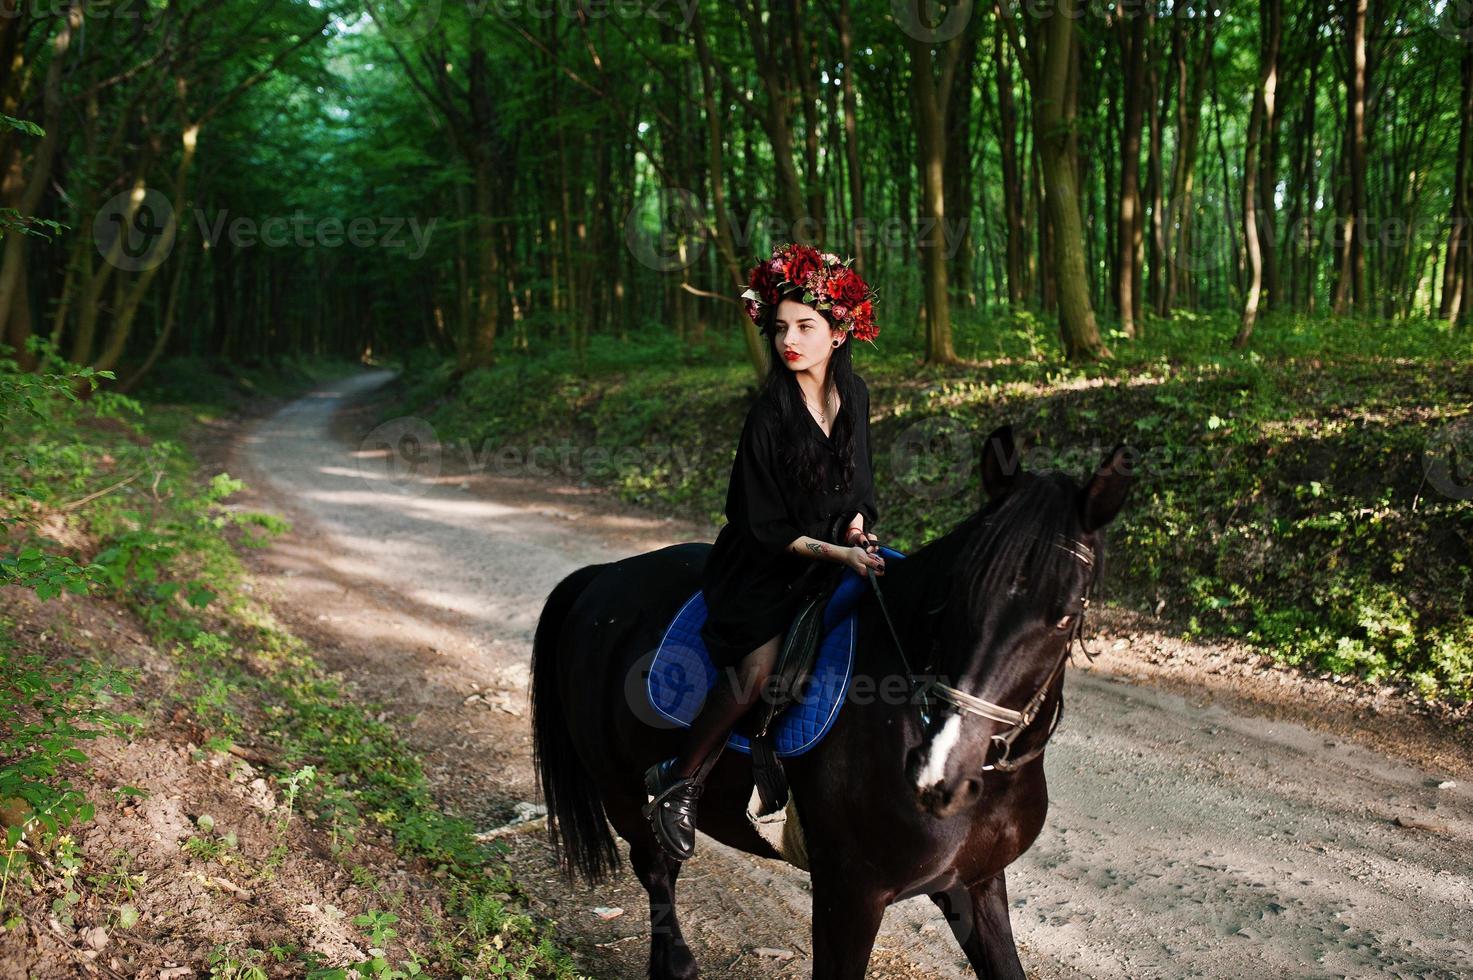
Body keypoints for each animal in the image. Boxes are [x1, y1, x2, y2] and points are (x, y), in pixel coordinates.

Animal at [533, 427, 1137, 978]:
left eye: (1064, 614)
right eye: (954, 594)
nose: (937, 775)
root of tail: (603, 578)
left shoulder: (975, 884)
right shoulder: (849, 896)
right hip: (620, 791)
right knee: (657, 870)